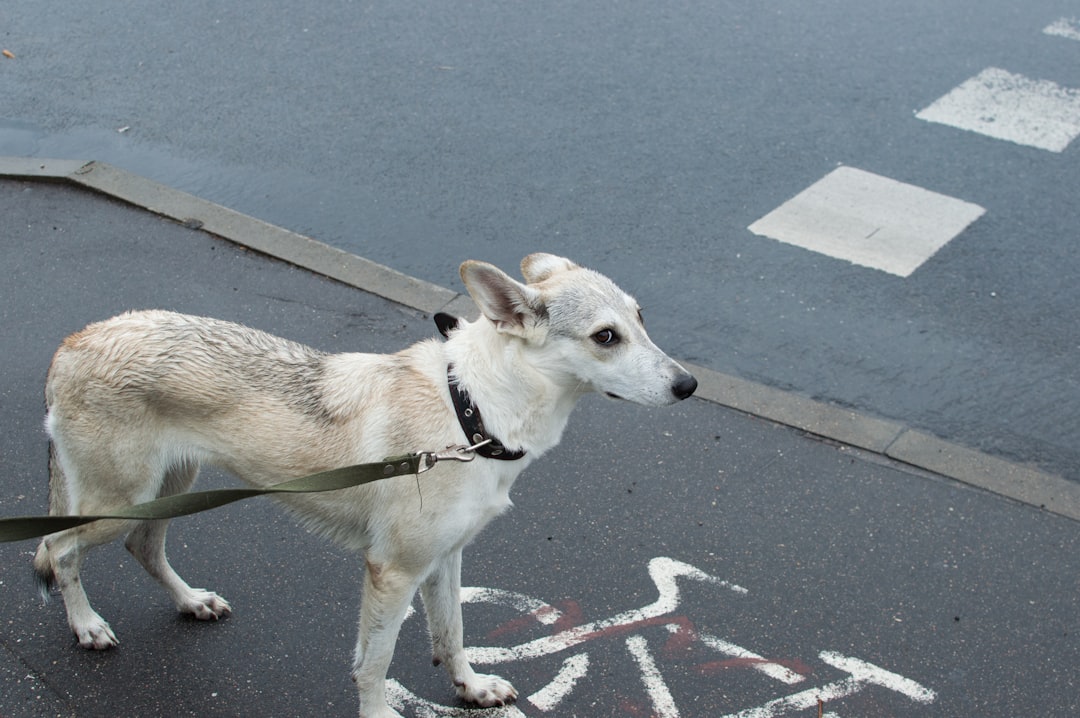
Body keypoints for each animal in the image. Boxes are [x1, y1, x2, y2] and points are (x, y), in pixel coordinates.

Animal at [33, 253, 695, 716]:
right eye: (605, 337)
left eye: (641, 320)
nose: (689, 385)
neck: (471, 411)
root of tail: (72, 342)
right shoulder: (393, 572)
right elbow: (375, 664)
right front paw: (380, 714)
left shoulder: (445, 560)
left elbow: (453, 634)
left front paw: (471, 688)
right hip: (118, 502)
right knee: (58, 549)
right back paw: (87, 626)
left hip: (167, 491)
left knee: (141, 548)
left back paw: (191, 601)